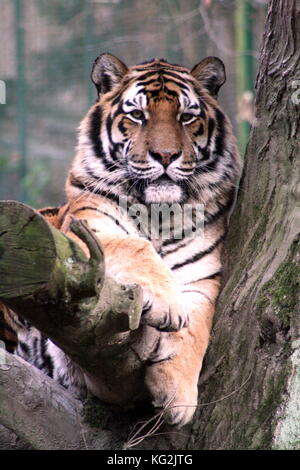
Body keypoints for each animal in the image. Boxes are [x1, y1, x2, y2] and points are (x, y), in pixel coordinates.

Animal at [1, 54, 241, 426]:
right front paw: (168, 305)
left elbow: (194, 330)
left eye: (186, 117)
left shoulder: (201, 278)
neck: (160, 213)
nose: (166, 155)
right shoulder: (84, 234)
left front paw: (178, 396)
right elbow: (135, 245)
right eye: (138, 115)